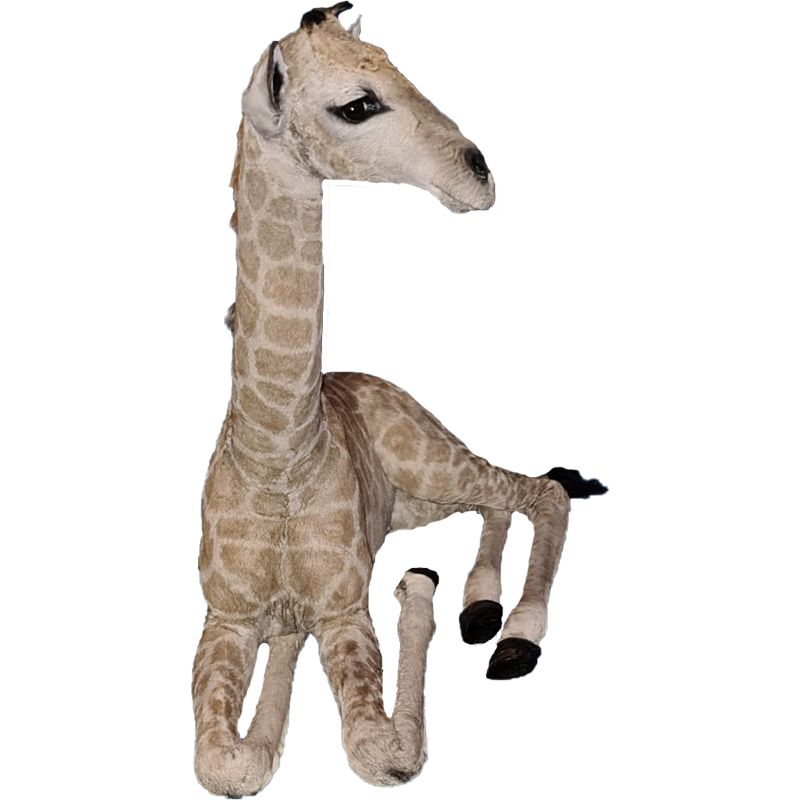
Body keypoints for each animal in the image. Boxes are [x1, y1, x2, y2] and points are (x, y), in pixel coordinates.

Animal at [193, 7, 603, 797]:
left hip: (434, 460)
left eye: (401, 74)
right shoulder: (225, 617)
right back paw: (481, 599)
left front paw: (418, 592)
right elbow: (227, 760)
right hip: (421, 495)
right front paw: (277, 682)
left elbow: (380, 750)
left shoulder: (346, 607)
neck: (277, 459)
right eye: (357, 105)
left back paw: (509, 631)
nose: (481, 175)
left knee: (541, 490)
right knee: (500, 504)